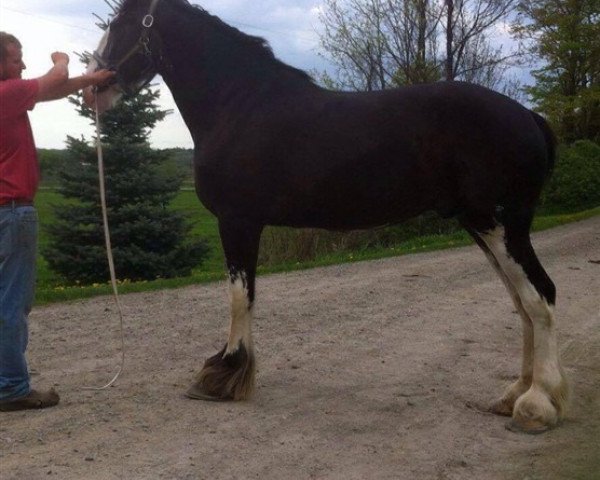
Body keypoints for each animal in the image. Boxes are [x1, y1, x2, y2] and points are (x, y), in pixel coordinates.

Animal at [86, 0, 568, 434]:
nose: (94, 86)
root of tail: (529, 116)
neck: (238, 106)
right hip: (483, 227)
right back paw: (513, 395)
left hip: (501, 226)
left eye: (118, 21)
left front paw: (223, 374)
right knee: (522, 304)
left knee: (539, 297)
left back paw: (536, 405)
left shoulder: (237, 221)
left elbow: (240, 297)